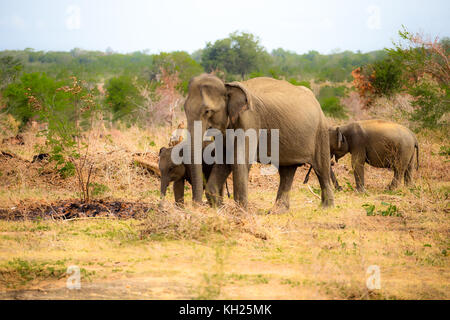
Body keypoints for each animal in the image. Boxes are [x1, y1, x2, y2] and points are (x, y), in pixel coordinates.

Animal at [183, 74, 334, 211]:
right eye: (184, 108)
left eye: (208, 111)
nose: (196, 207)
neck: (227, 86)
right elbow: (225, 158)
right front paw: (220, 209)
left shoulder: (249, 119)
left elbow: (240, 160)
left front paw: (241, 213)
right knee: (287, 171)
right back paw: (277, 211)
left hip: (320, 131)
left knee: (321, 168)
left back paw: (326, 208)